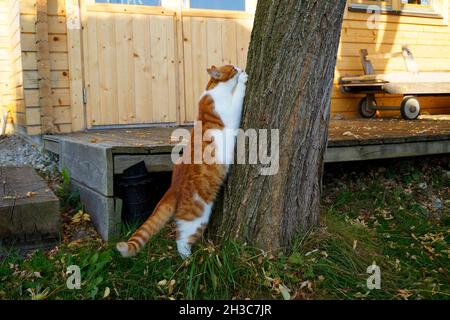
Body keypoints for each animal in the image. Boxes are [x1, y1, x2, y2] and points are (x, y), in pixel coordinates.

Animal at [116, 65, 248, 260]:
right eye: (232, 68)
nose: (240, 67)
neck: (212, 88)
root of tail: (173, 187)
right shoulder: (230, 111)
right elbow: (238, 95)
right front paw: (243, 80)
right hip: (196, 217)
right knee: (182, 238)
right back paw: (189, 259)